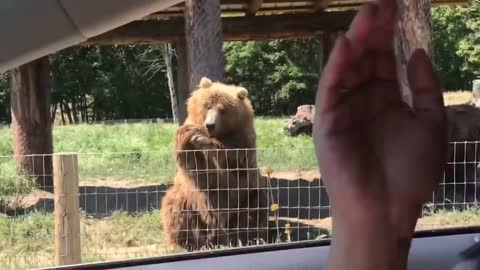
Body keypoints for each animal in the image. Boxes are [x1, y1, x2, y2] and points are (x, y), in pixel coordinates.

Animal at [159, 77, 268, 252]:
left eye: (223, 110)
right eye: (207, 106)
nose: (210, 124)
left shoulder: (242, 147)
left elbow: (230, 167)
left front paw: (209, 143)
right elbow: (192, 161)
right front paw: (194, 135)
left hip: (246, 198)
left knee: (255, 210)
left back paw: (248, 239)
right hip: (190, 201)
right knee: (177, 211)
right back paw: (182, 244)